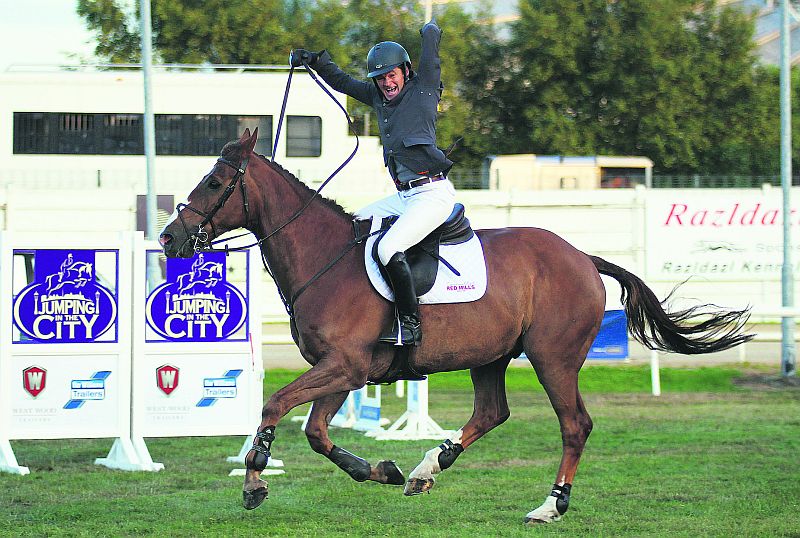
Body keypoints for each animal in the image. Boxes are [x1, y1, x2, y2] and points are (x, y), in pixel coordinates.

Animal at [161, 129, 752, 520]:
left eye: (214, 182)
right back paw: (427, 469)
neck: (325, 258)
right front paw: (382, 471)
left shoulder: (344, 366)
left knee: (574, 425)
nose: (169, 238)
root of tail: (582, 256)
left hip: (554, 358)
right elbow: (316, 432)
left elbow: (274, 406)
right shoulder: (345, 371)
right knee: (492, 412)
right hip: (491, 356)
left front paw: (254, 479)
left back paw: (550, 505)